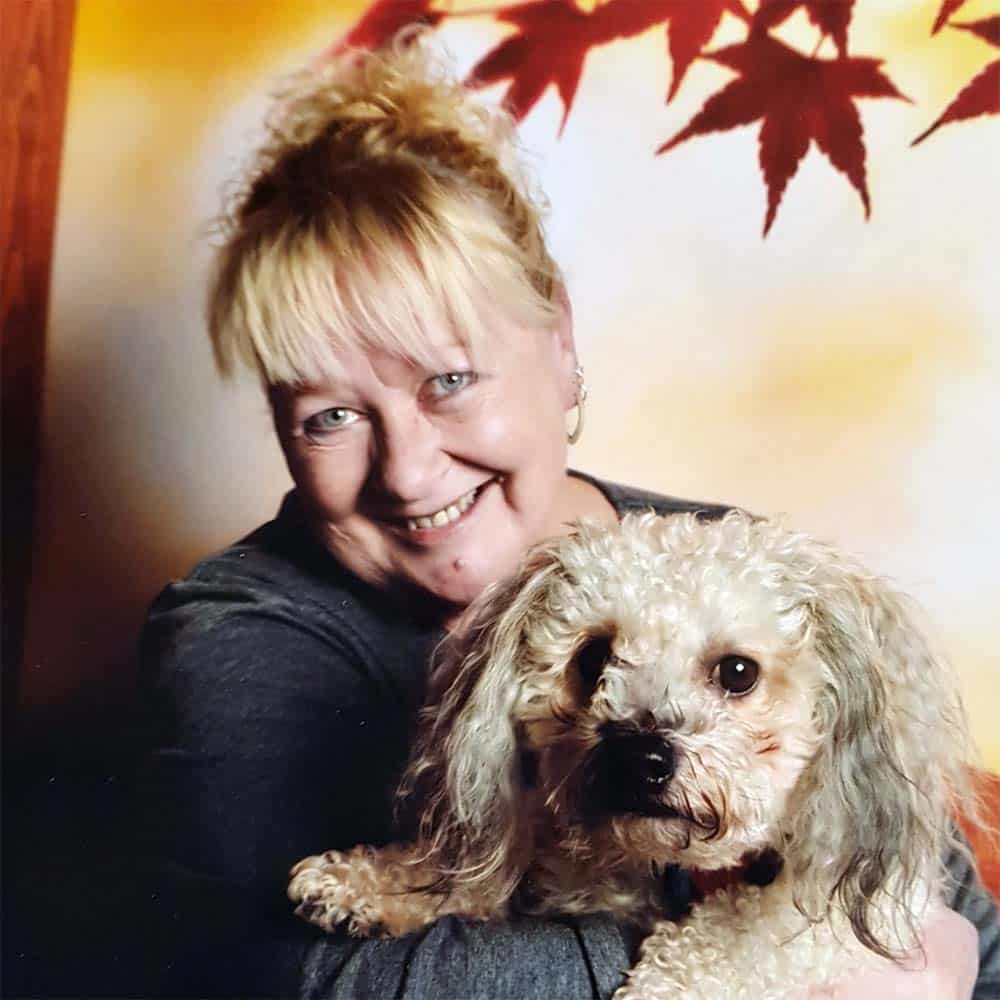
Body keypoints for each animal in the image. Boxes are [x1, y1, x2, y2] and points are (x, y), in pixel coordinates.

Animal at [289, 510, 977, 997]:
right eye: (593, 656)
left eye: (738, 672)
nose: (639, 758)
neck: (675, 872)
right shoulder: (566, 880)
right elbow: (471, 883)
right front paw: (367, 881)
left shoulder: (833, 919)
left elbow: (736, 939)